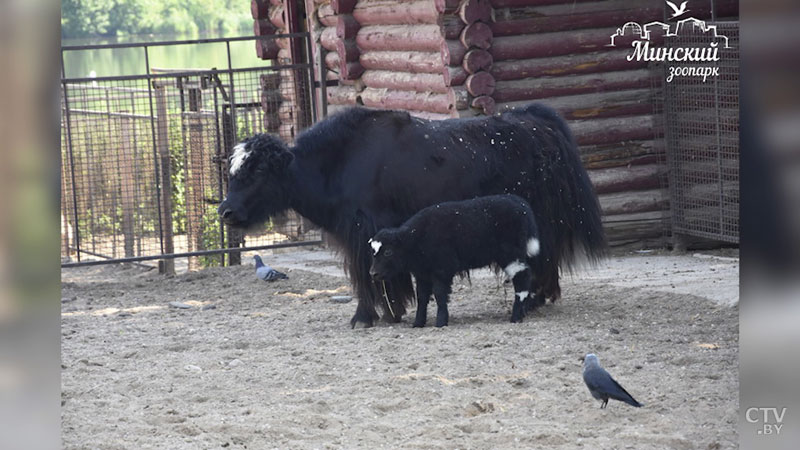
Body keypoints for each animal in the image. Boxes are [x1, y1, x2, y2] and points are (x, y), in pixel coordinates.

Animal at [368, 194, 544, 326]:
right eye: (373, 253)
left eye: (388, 252)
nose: (373, 273)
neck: (415, 239)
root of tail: (520, 203)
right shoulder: (422, 273)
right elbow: (422, 297)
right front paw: (418, 323)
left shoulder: (443, 269)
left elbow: (440, 294)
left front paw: (441, 322)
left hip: (510, 254)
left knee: (523, 277)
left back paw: (516, 317)